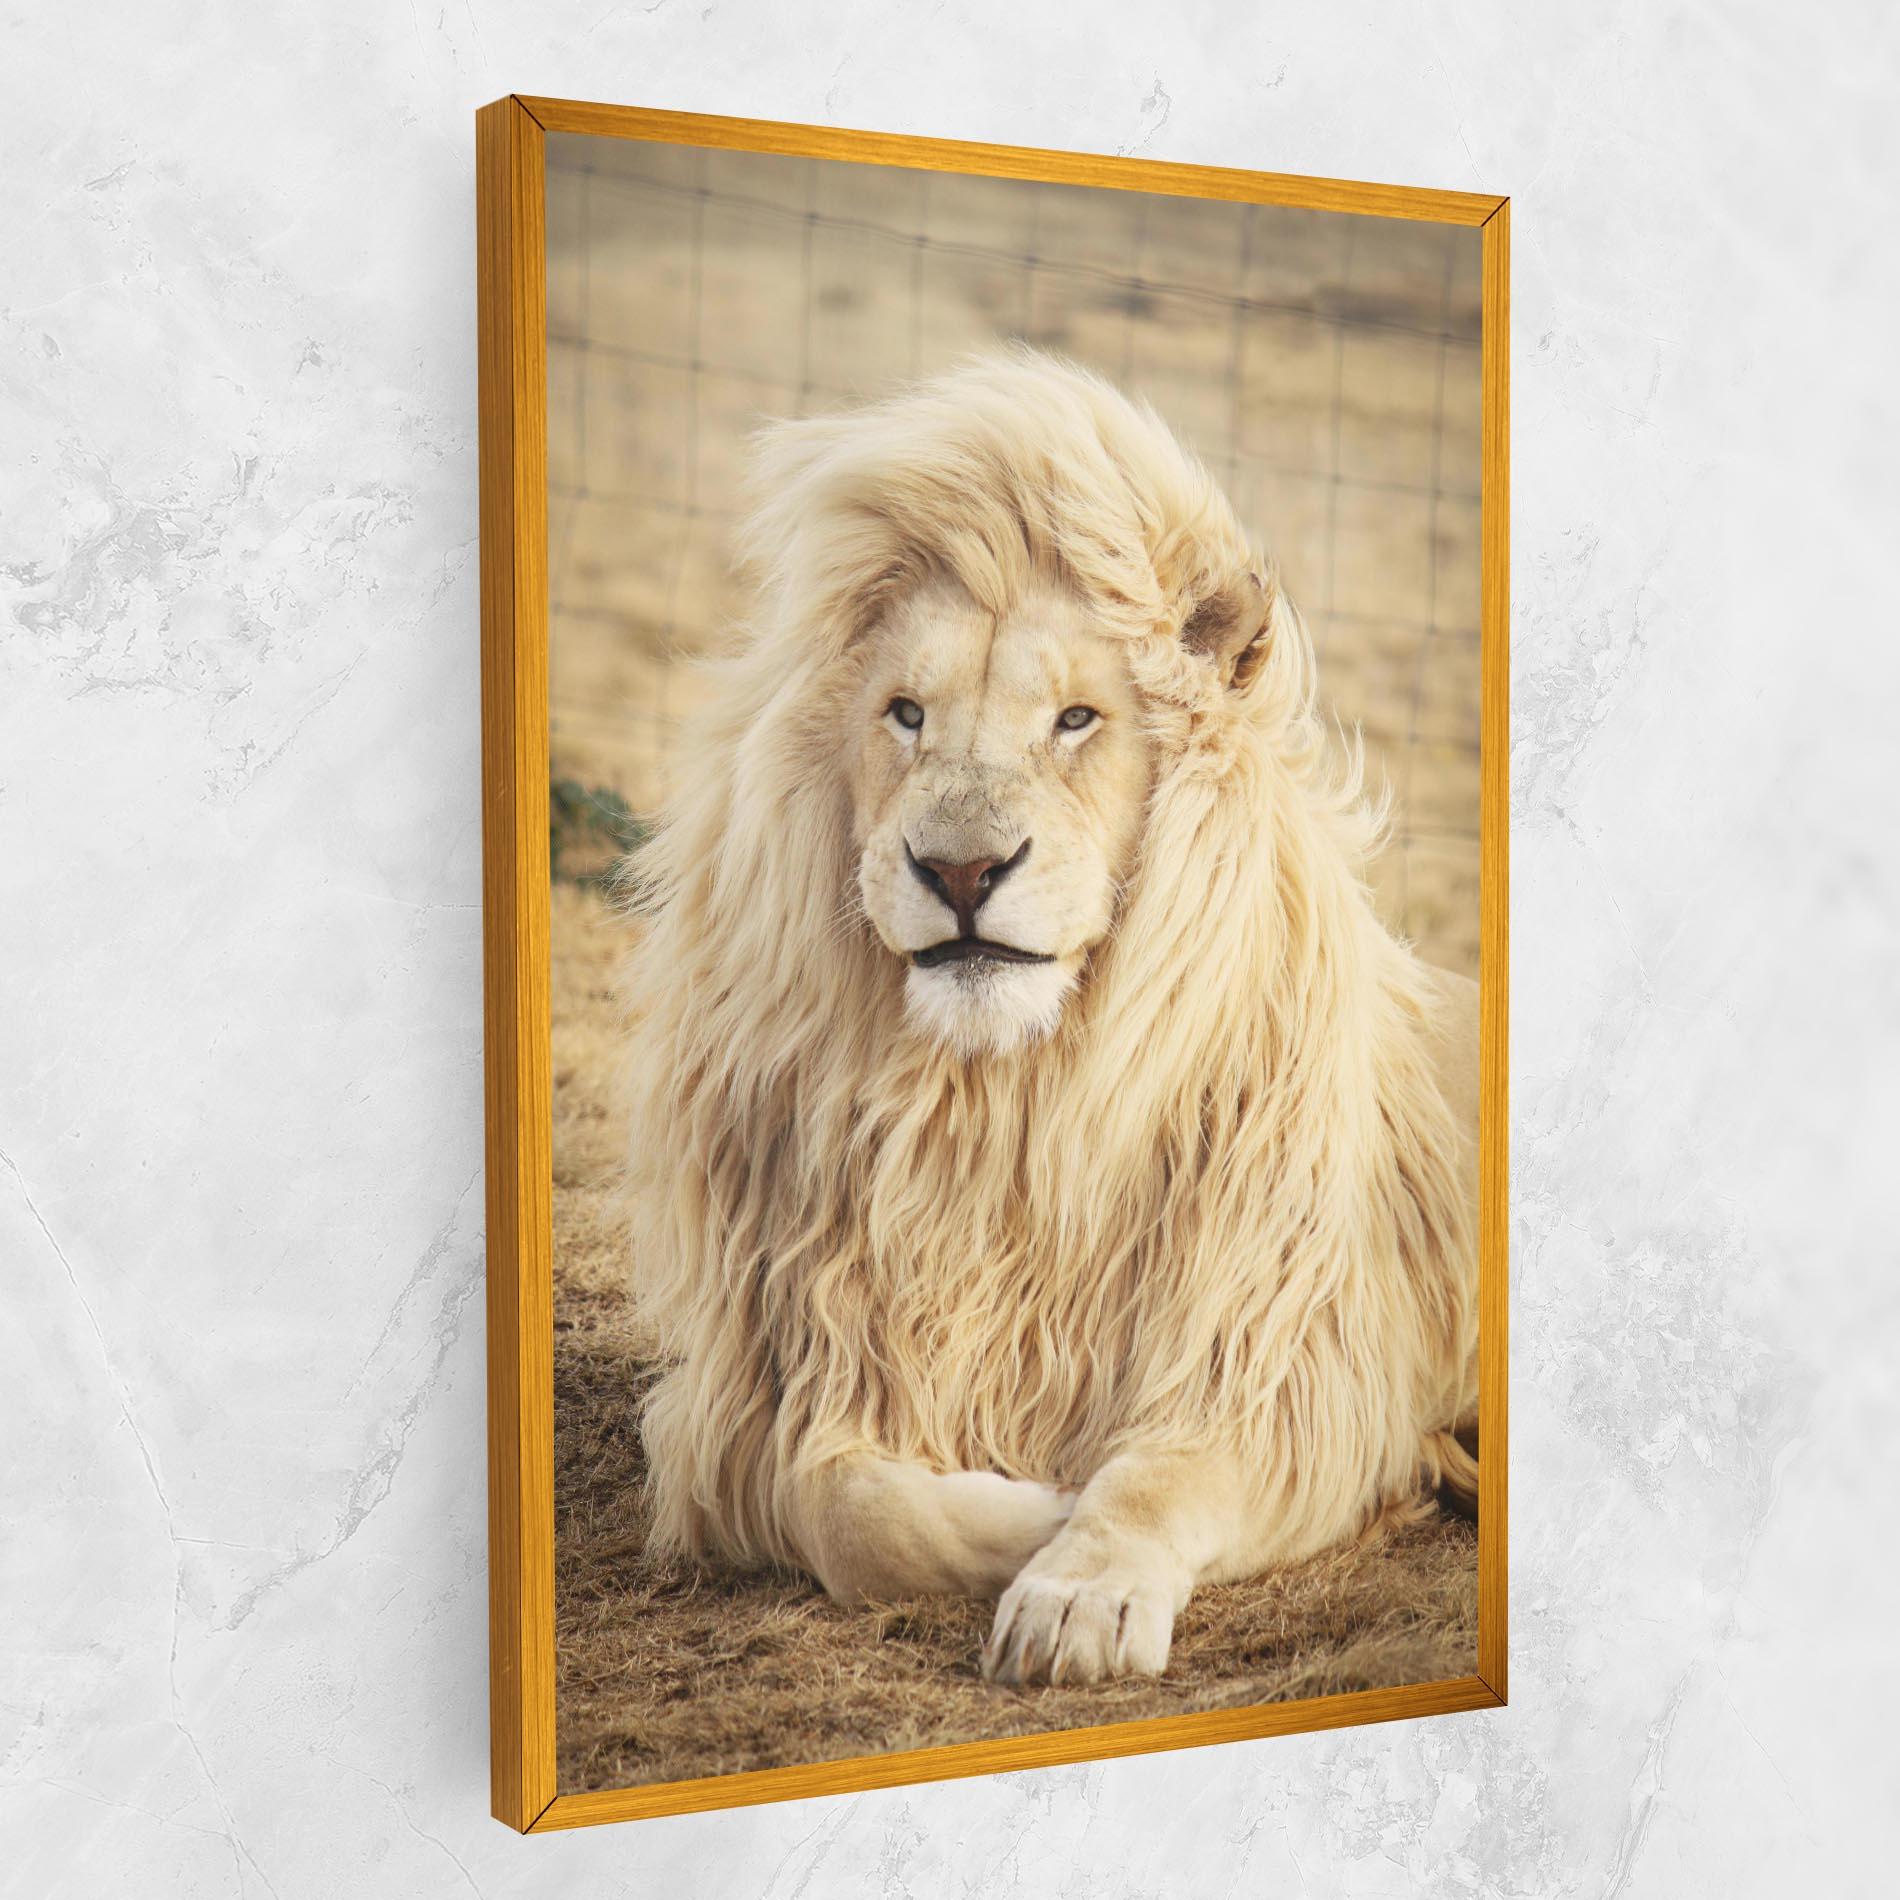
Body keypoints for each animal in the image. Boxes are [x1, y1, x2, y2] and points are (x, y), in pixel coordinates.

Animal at [619, 348, 1478, 1687]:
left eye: (1076, 719)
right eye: (906, 713)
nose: (961, 870)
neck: (1001, 1107)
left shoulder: (1282, 1366)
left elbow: (1156, 1477)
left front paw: (1078, 1588)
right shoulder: (767, 1392)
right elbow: (848, 1507)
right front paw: (1028, 1509)